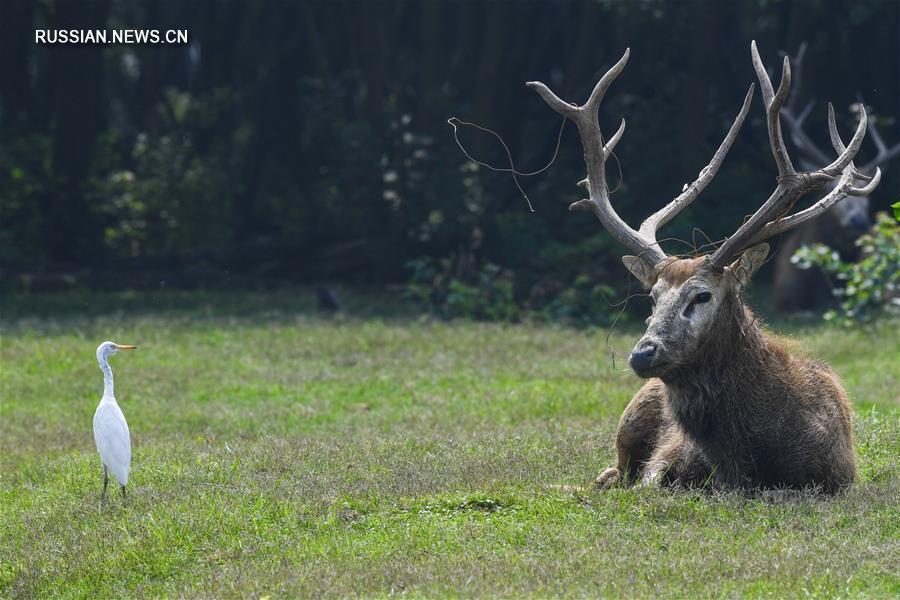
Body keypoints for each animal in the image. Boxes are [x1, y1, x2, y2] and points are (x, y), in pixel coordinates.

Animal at [520, 41, 880, 492]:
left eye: (702, 296)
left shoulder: (836, 477)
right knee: (612, 471)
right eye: (652, 298)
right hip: (631, 417)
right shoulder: (665, 458)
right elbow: (648, 482)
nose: (642, 354)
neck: (747, 462)